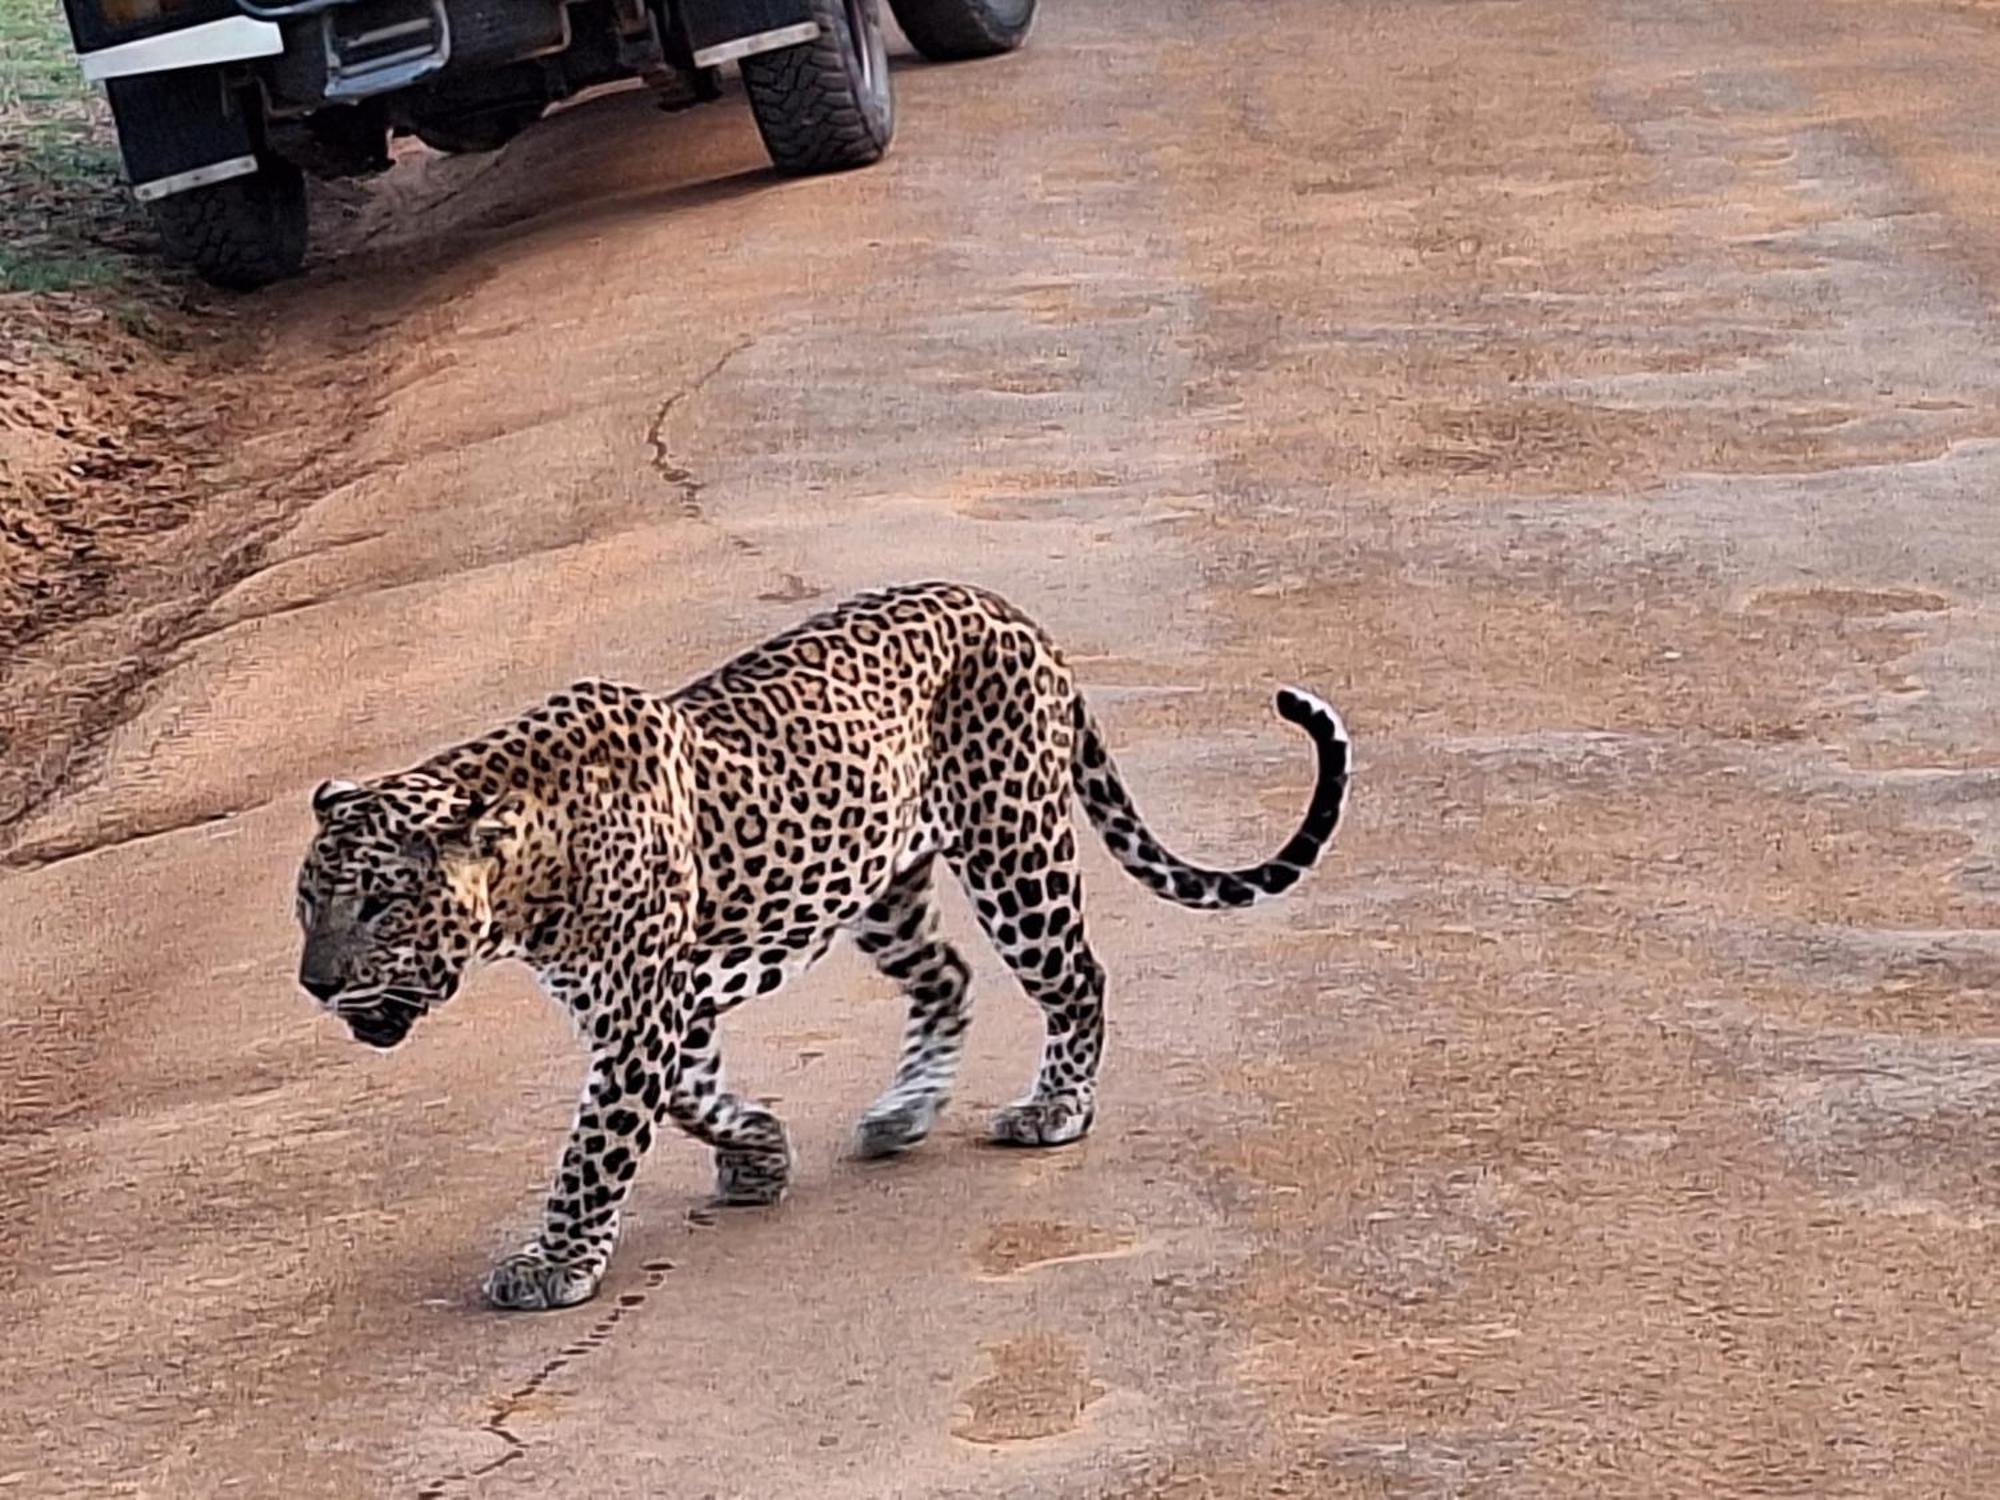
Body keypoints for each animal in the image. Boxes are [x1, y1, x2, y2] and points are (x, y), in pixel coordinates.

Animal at [292, 580, 1360, 1312]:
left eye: (380, 904)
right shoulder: (656, 1009)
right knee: (949, 978)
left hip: (1013, 851)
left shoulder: (641, 1017)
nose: (314, 985)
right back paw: (902, 1112)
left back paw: (1054, 1110)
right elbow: (694, 1098)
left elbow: (595, 1149)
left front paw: (554, 1264)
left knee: (1076, 978)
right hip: (881, 884)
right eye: (306, 908)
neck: (529, 876)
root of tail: (1008, 608)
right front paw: (760, 1153)